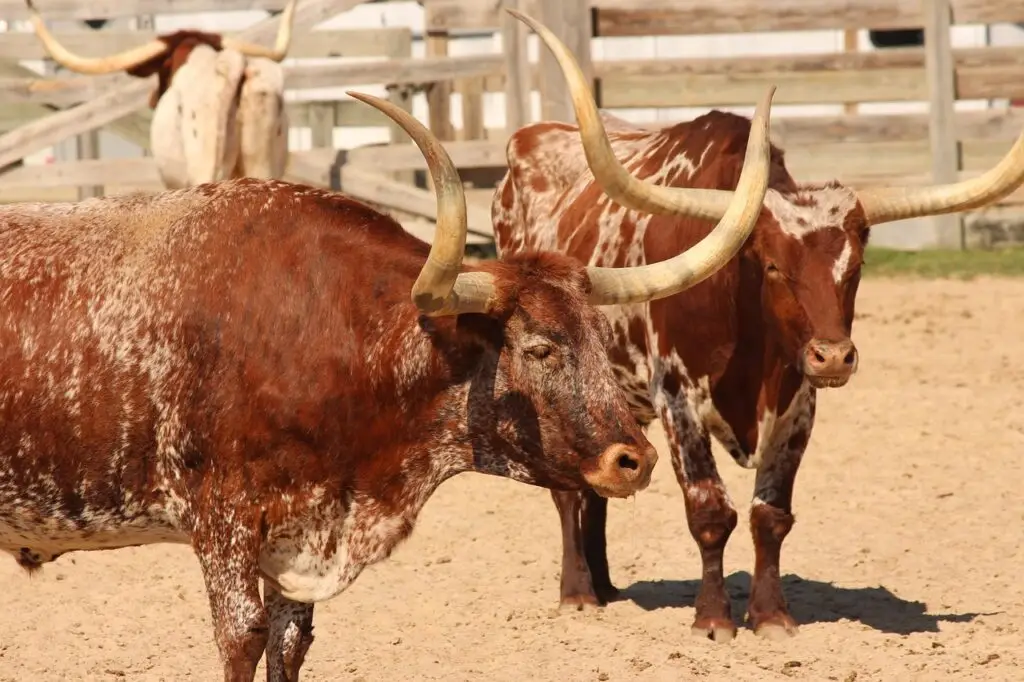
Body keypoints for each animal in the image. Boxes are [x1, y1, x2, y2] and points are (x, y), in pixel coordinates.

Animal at [0, 84, 776, 681]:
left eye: (600, 339)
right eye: (539, 348)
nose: (633, 460)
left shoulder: (300, 541)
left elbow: (289, 644)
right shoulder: (223, 522)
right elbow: (242, 639)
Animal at [495, 10, 1024, 643]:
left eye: (857, 264)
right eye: (772, 265)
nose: (833, 356)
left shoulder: (798, 404)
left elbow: (771, 515)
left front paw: (771, 617)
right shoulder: (677, 398)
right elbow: (709, 509)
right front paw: (712, 619)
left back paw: (606, 586)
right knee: (567, 492)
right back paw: (578, 594)